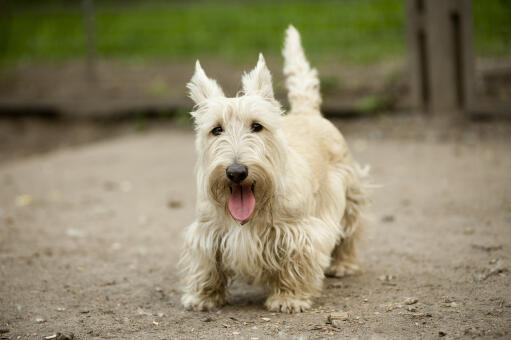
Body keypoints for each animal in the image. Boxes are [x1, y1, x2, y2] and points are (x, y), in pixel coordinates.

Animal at [182, 24, 370, 314]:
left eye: (257, 126)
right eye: (216, 129)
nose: (236, 172)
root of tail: (306, 112)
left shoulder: (298, 231)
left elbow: (295, 262)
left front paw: (289, 298)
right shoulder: (208, 230)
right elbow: (207, 262)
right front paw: (203, 297)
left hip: (350, 191)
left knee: (350, 229)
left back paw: (344, 264)